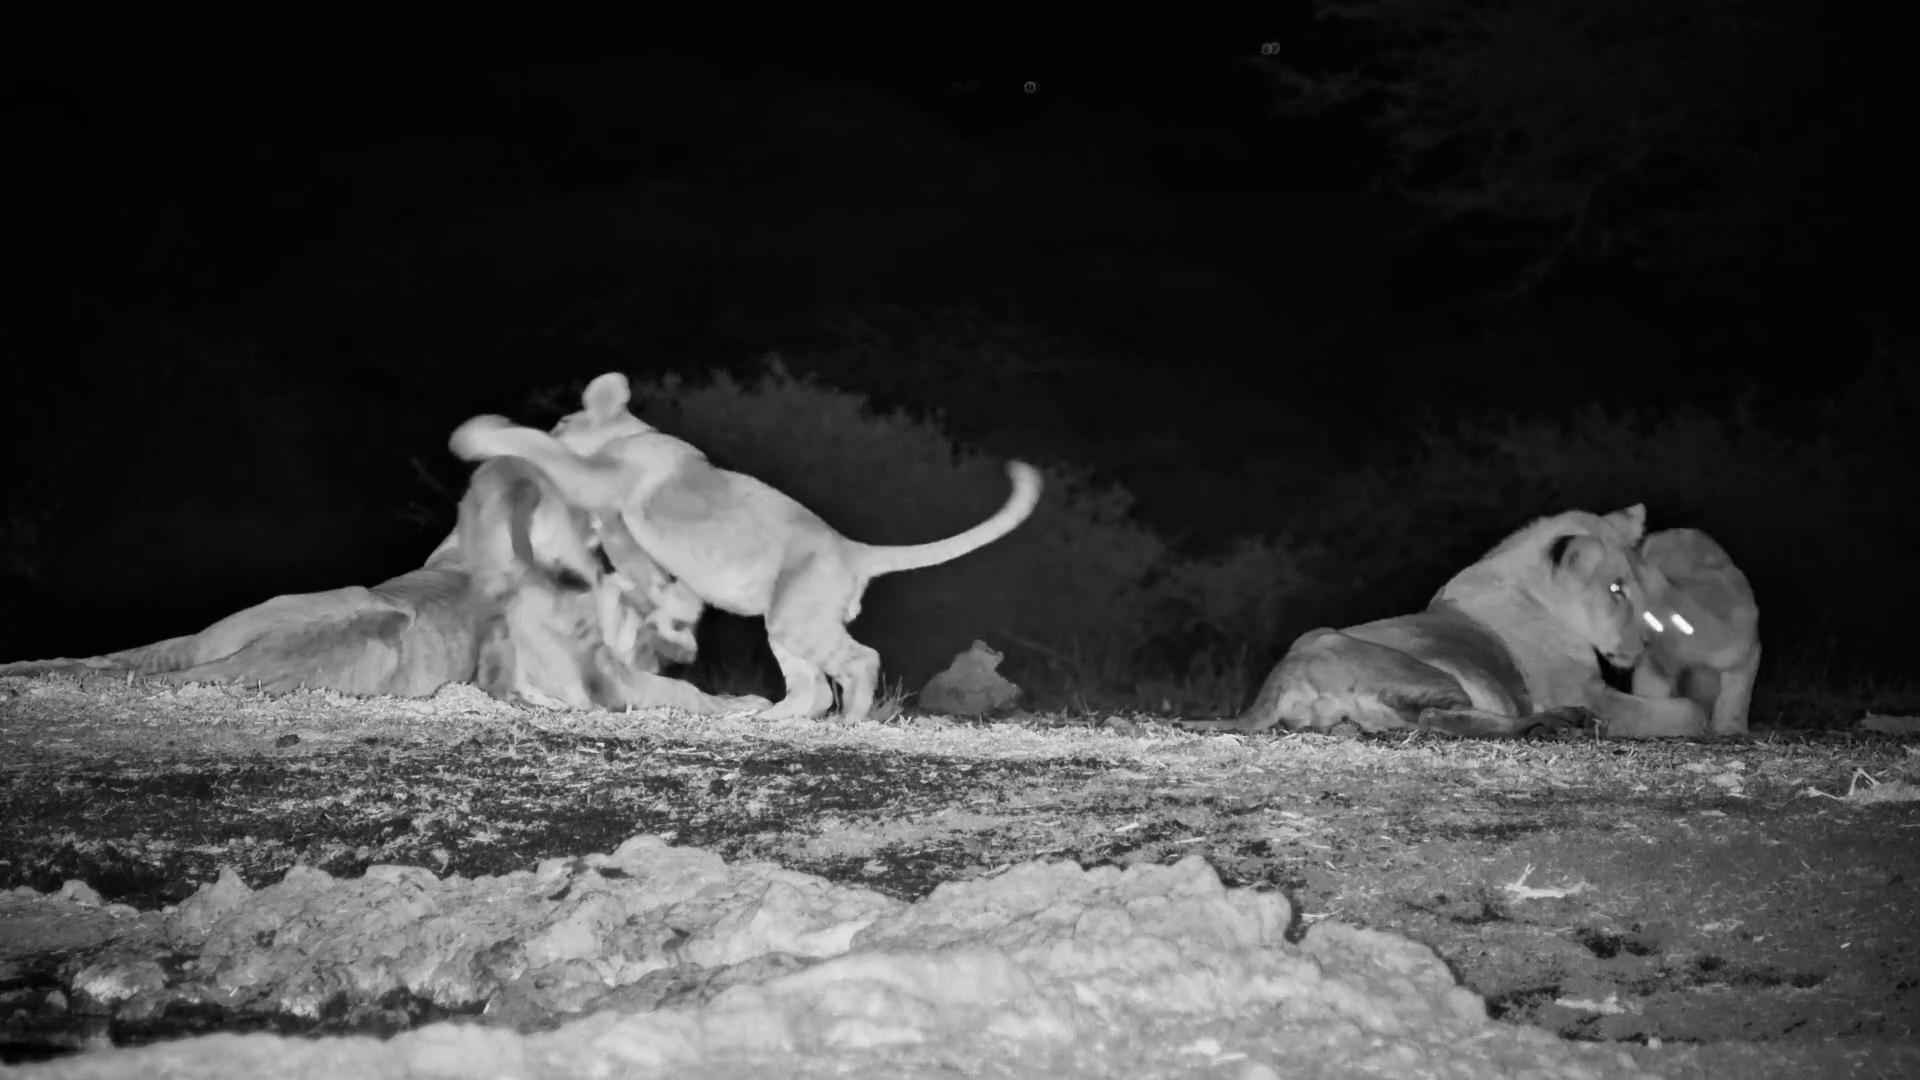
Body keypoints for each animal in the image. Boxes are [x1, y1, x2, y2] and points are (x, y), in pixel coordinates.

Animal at [447, 372, 1044, 725]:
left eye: (563, 418)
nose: (559, 422)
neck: (633, 433)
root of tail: (852, 548)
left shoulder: (601, 477)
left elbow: (540, 448)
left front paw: (480, 434)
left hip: (799, 618)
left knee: (860, 662)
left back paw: (849, 721)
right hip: (787, 622)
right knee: (812, 689)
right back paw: (768, 719)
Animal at [1181, 505, 1712, 740]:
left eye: (1636, 585)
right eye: (1616, 590)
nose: (1645, 644)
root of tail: (1279, 678)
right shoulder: (1586, 690)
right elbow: (1690, 712)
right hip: (1425, 672)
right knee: (1441, 718)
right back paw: (1557, 722)